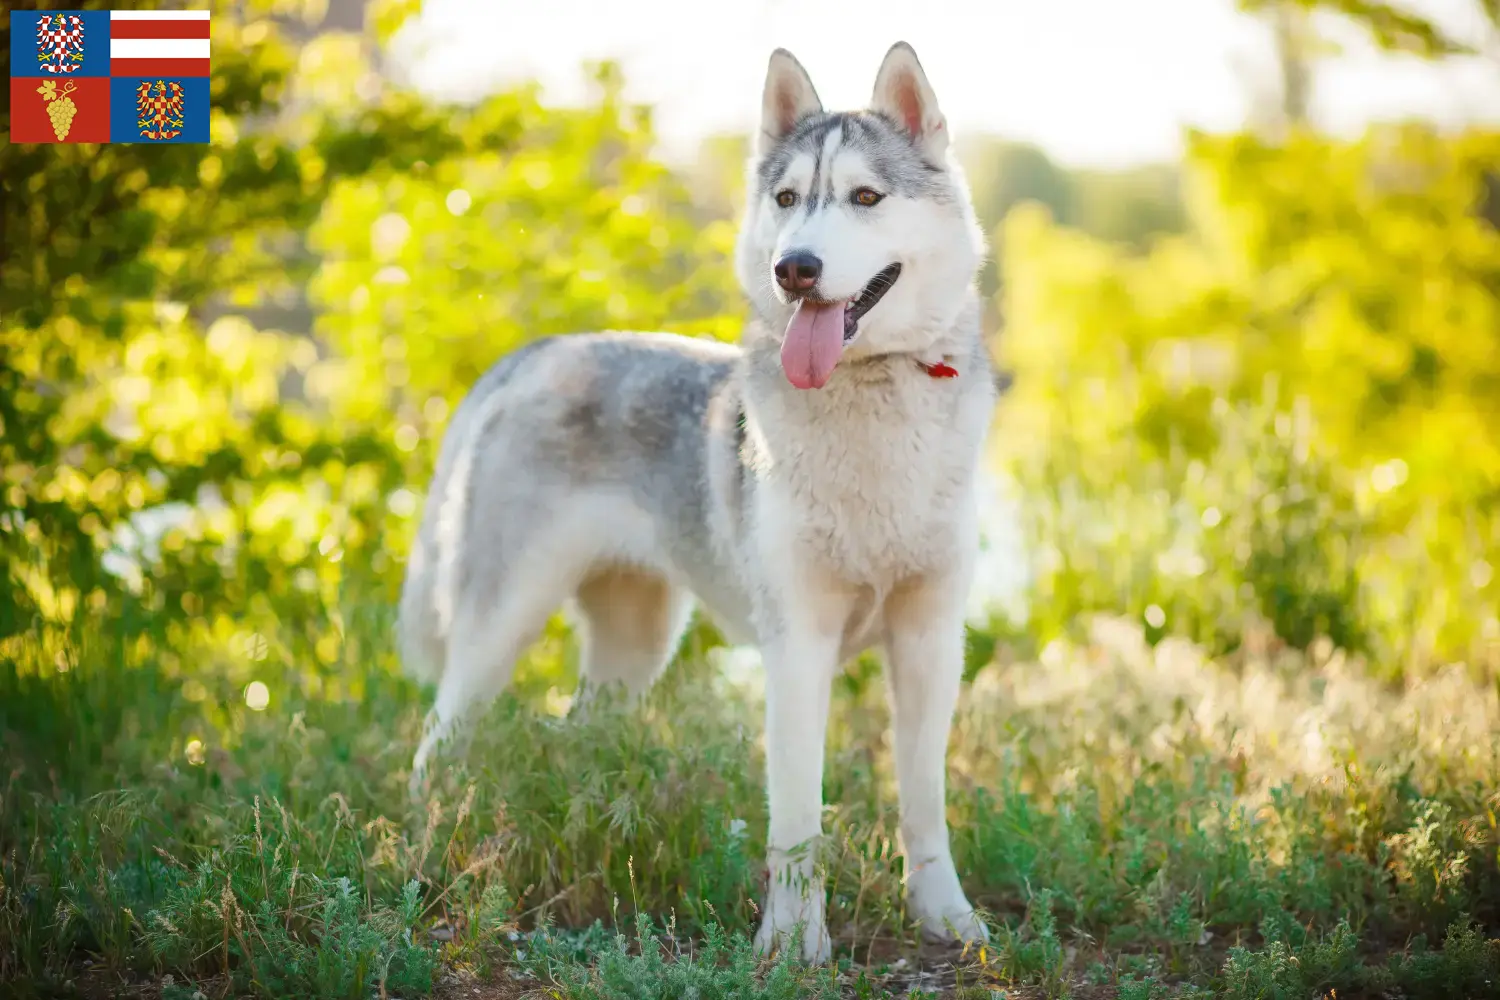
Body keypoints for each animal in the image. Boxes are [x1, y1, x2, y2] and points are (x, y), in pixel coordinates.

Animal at [405, 41, 1002, 959]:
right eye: (787, 200)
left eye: (865, 197)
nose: (794, 269)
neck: (870, 404)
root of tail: (540, 350)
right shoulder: (798, 647)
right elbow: (796, 821)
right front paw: (793, 945)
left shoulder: (930, 640)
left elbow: (923, 805)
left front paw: (946, 919)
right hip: (497, 628)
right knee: (434, 747)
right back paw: (420, 854)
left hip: (636, 646)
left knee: (579, 735)